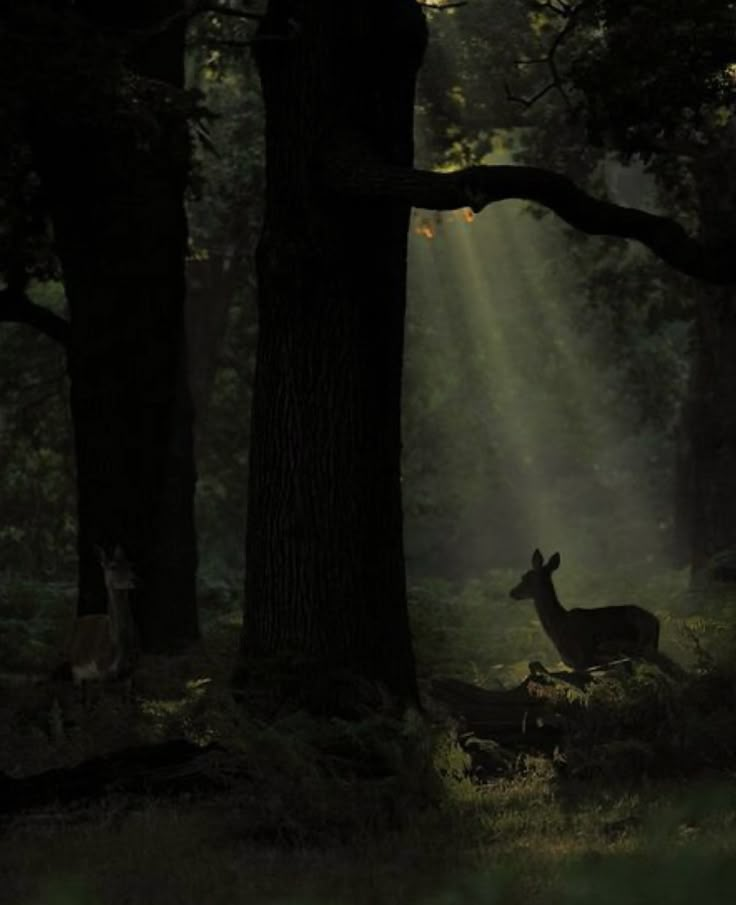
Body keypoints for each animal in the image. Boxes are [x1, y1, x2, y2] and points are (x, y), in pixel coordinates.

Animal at [66, 544, 139, 700]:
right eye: (113, 567)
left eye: (131, 565)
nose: (135, 580)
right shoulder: (102, 669)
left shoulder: (132, 669)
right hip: (75, 668)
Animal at [512, 544, 660, 672]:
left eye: (526, 577)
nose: (512, 592)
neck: (559, 626)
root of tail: (656, 621)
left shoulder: (582, 659)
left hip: (642, 649)